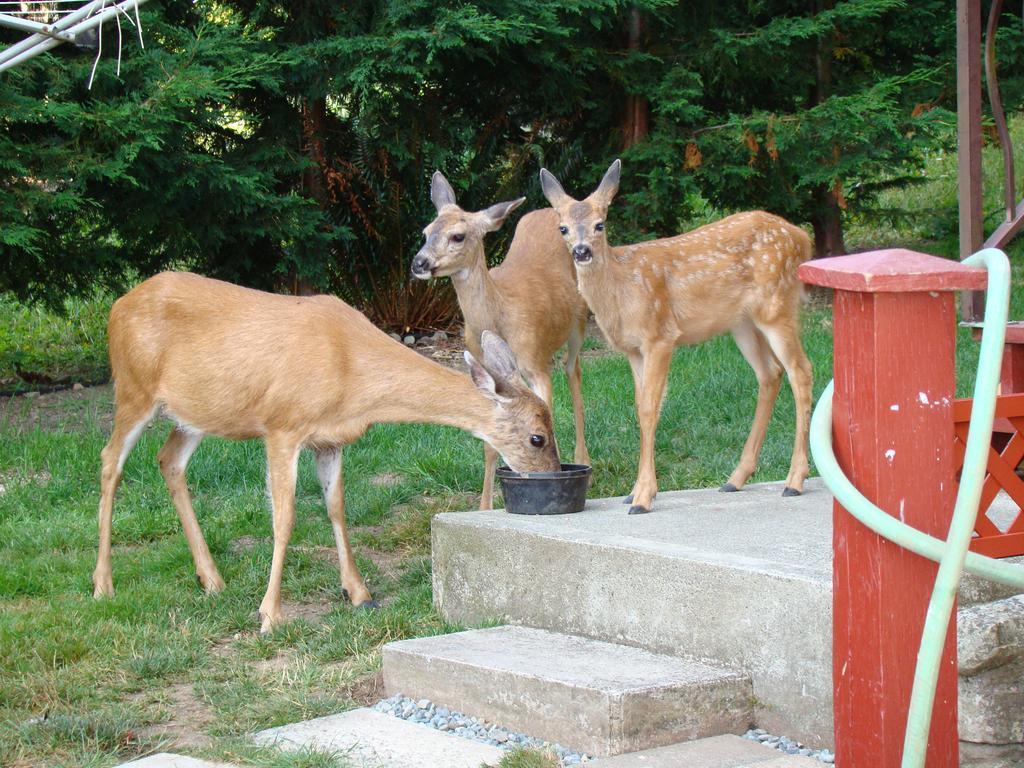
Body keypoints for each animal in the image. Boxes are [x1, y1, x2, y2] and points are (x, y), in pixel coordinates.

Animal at [94, 274, 561, 634]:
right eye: (538, 438)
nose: (554, 473)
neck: (352, 372)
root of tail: (116, 306)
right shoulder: (282, 426)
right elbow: (284, 519)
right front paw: (269, 615)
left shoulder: (330, 440)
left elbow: (336, 507)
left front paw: (358, 592)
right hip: (133, 388)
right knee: (109, 462)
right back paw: (103, 585)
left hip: (194, 413)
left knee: (168, 460)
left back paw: (211, 579)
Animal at [409, 174, 589, 512]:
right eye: (425, 232)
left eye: (458, 236)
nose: (419, 263)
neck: (498, 313)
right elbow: (492, 443)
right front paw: (485, 505)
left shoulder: (534, 363)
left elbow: (546, 418)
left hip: (581, 320)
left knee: (574, 373)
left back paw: (583, 456)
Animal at [540, 159, 811, 514]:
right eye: (563, 228)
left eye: (600, 224)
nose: (582, 251)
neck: (621, 290)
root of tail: (801, 237)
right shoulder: (633, 350)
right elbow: (639, 406)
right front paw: (634, 492)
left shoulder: (659, 335)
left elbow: (649, 410)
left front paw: (643, 498)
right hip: (742, 323)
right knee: (770, 373)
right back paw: (736, 478)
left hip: (777, 307)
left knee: (801, 372)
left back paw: (794, 480)